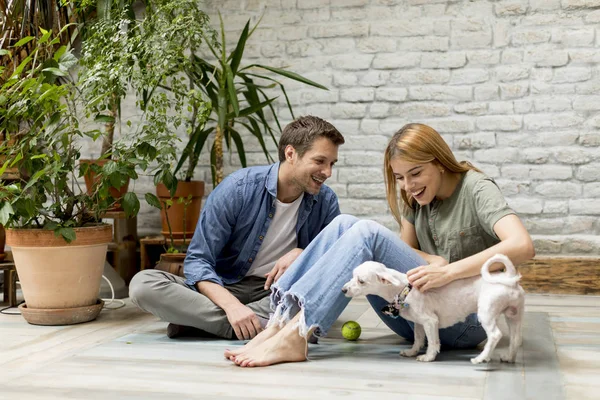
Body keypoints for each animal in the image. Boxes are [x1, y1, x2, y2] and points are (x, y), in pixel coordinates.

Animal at [342, 255, 524, 364]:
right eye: (352, 276)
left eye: (361, 281)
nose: (343, 290)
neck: (405, 289)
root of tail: (509, 277)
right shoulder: (419, 324)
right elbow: (418, 340)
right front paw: (412, 352)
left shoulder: (430, 321)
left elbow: (433, 342)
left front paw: (428, 357)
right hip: (514, 316)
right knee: (516, 339)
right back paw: (509, 357)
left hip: (486, 313)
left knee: (495, 335)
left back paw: (481, 358)